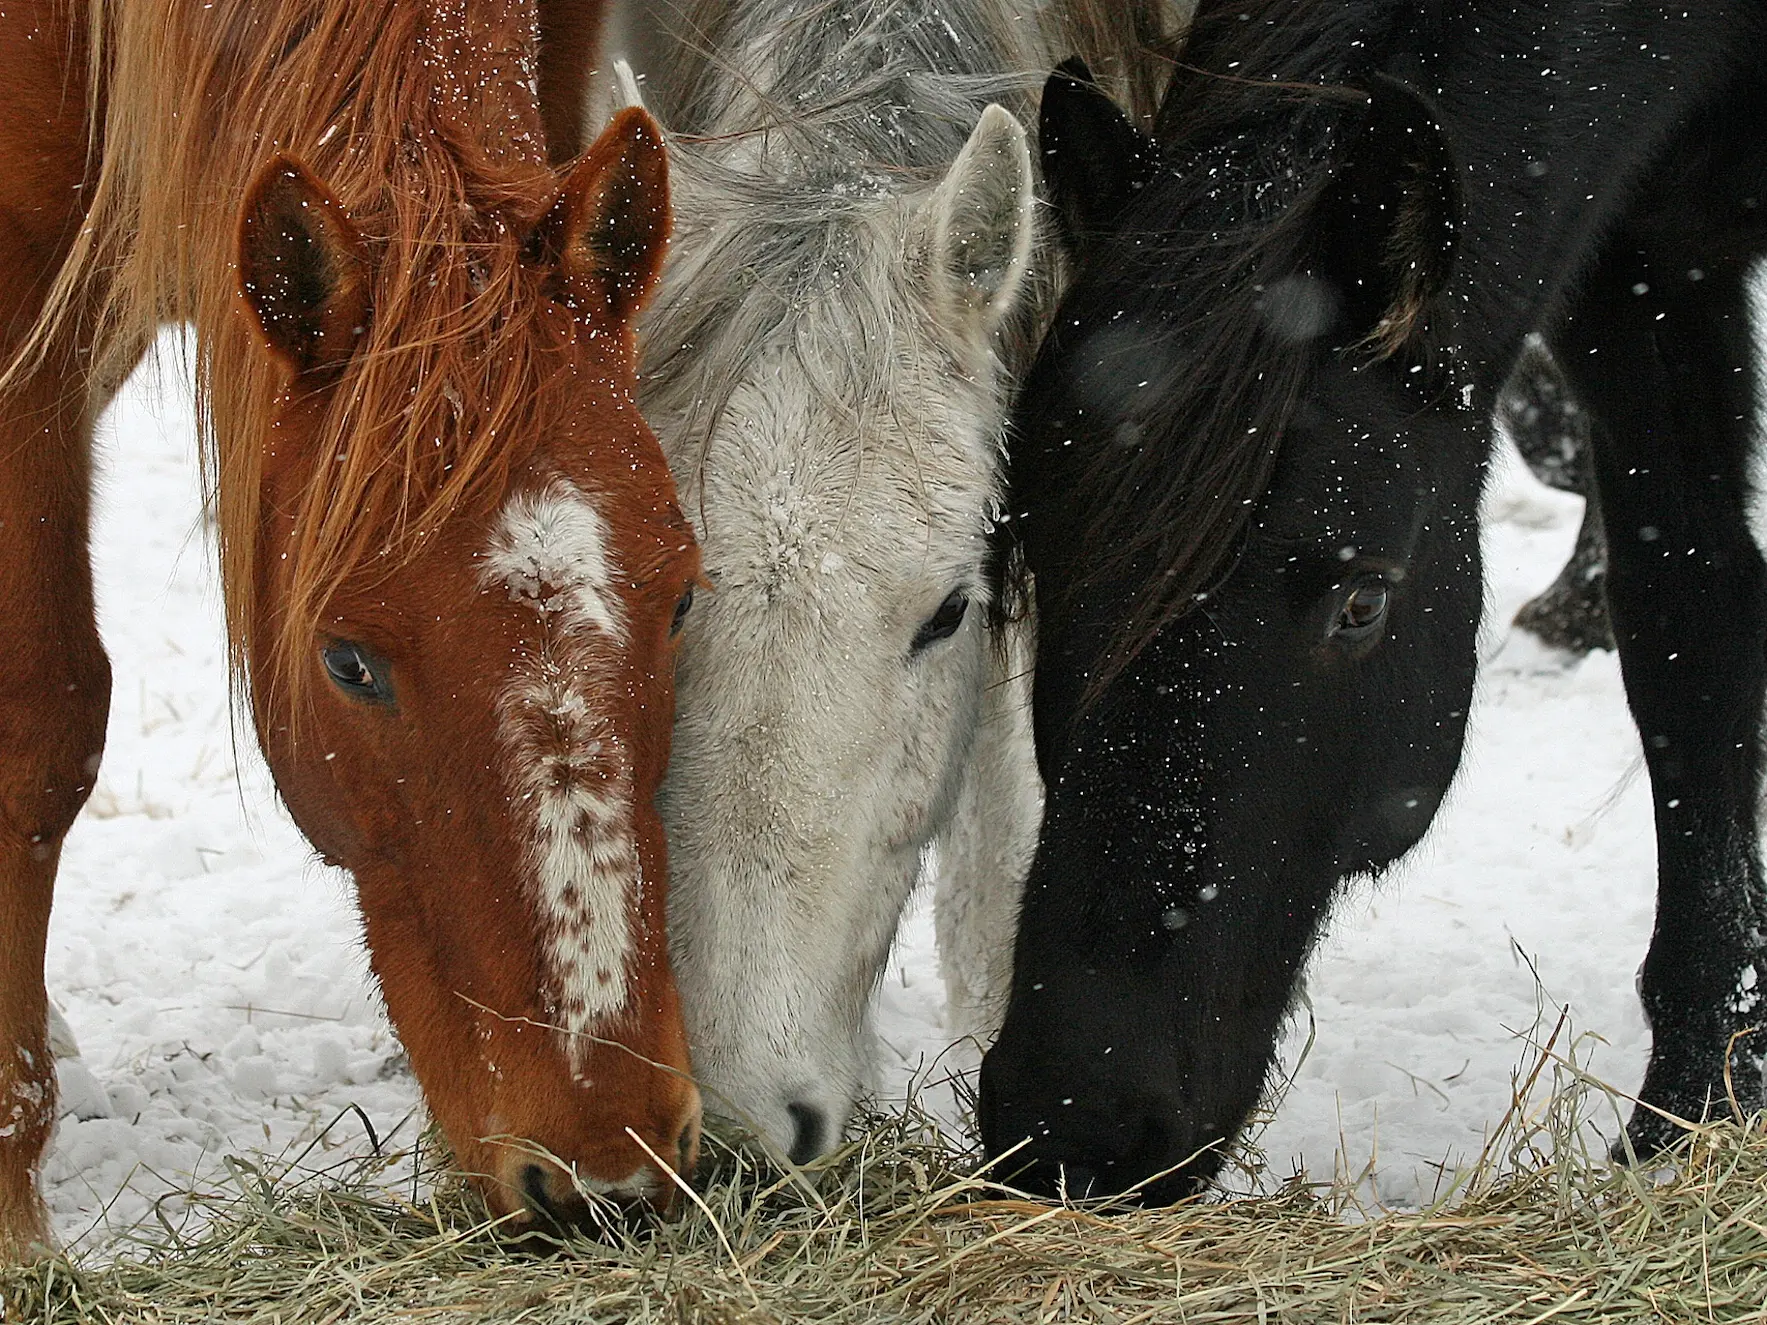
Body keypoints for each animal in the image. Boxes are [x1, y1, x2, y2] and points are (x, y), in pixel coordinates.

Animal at [982, 0, 1767, 1201]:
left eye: (1361, 603)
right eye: (1034, 558)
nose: (1075, 1120)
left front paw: (1699, 1107)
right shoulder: (1644, 263)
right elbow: (1689, 624)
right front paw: (1700, 1102)